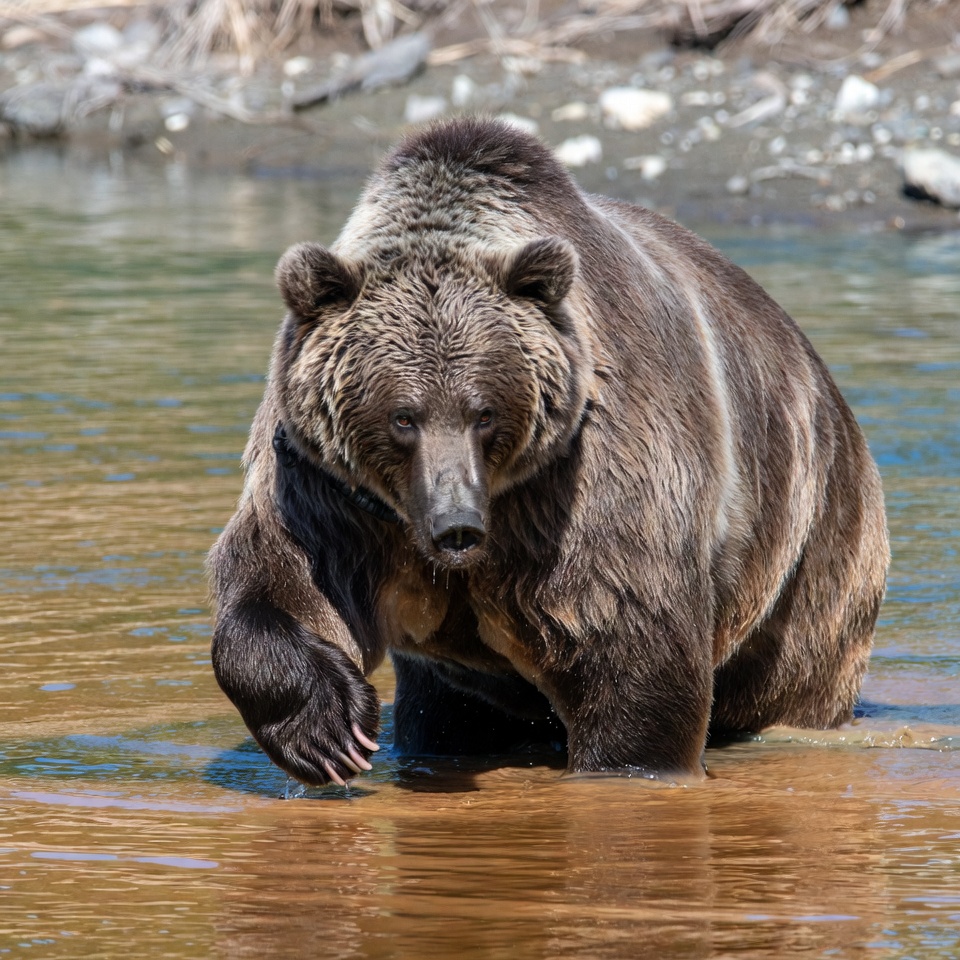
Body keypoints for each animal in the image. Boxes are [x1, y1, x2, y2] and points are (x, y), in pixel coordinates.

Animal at [208, 117, 889, 787]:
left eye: (483, 412)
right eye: (404, 417)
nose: (456, 525)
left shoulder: (580, 477)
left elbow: (629, 644)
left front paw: (628, 767)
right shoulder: (332, 487)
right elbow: (284, 579)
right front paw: (329, 730)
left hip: (807, 557)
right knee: (444, 714)